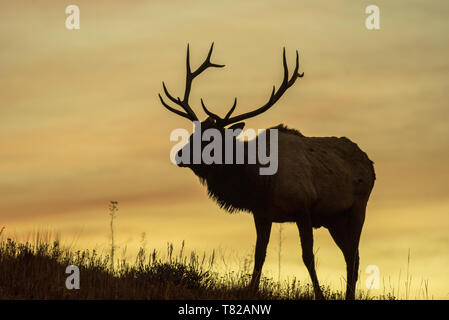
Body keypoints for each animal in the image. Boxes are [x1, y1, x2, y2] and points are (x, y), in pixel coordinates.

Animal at [158, 43, 374, 298]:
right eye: (193, 133)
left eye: (210, 139)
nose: (179, 155)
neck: (261, 184)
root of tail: (370, 164)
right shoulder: (261, 213)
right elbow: (259, 255)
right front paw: (251, 291)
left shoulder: (303, 206)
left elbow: (308, 256)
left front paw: (319, 295)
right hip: (334, 219)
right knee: (351, 254)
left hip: (358, 207)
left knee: (353, 256)